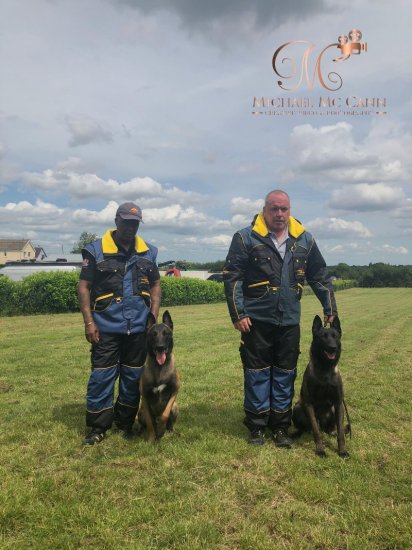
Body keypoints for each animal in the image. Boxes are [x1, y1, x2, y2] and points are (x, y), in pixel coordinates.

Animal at [138, 310, 179, 444]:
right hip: (140, 412)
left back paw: (170, 430)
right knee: (145, 423)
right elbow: (150, 422)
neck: (160, 367)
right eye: (153, 334)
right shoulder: (145, 397)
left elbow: (165, 414)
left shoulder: (174, 391)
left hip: (175, 407)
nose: (160, 347)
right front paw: (151, 438)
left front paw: (161, 429)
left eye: (166, 334)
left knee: (169, 421)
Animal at [292, 316, 350, 460]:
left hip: (334, 410)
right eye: (323, 337)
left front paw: (342, 451)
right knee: (310, 429)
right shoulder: (308, 404)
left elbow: (341, 433)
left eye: (335, 336)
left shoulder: (338, 403)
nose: (332, 348)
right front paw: (320, 450)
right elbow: (316, 431)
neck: (325, 370)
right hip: (297, 408)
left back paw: (331, 432)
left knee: (331, 430)